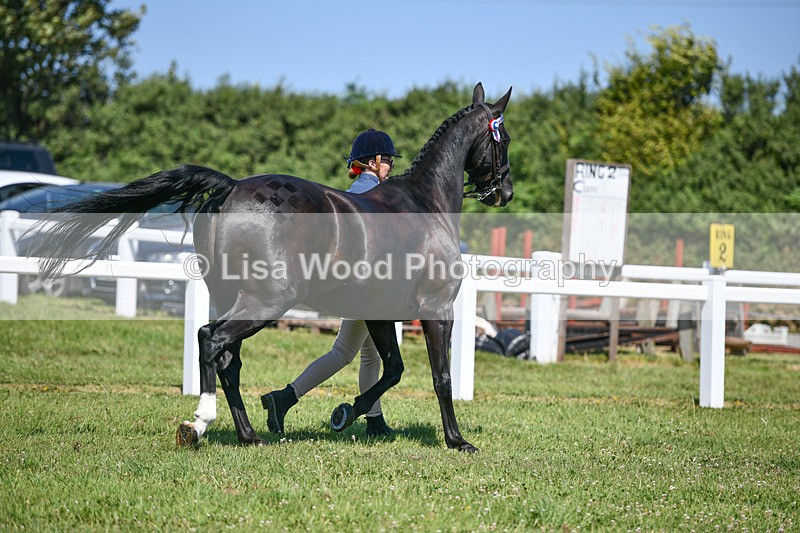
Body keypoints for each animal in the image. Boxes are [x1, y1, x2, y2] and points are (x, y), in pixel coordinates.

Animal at [34, 83, 513, 452]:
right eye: (503, 139)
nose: (504, 191)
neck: (425, 203)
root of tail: (231, 188)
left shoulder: (379, 313)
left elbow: (392, 370)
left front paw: (346, 412)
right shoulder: (436, 309)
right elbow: (441, 376)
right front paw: (456, 440)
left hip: (234, 297)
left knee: (228, 360)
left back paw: (250, 435)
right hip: (267, 301)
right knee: (211, 340)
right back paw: (199, 423)